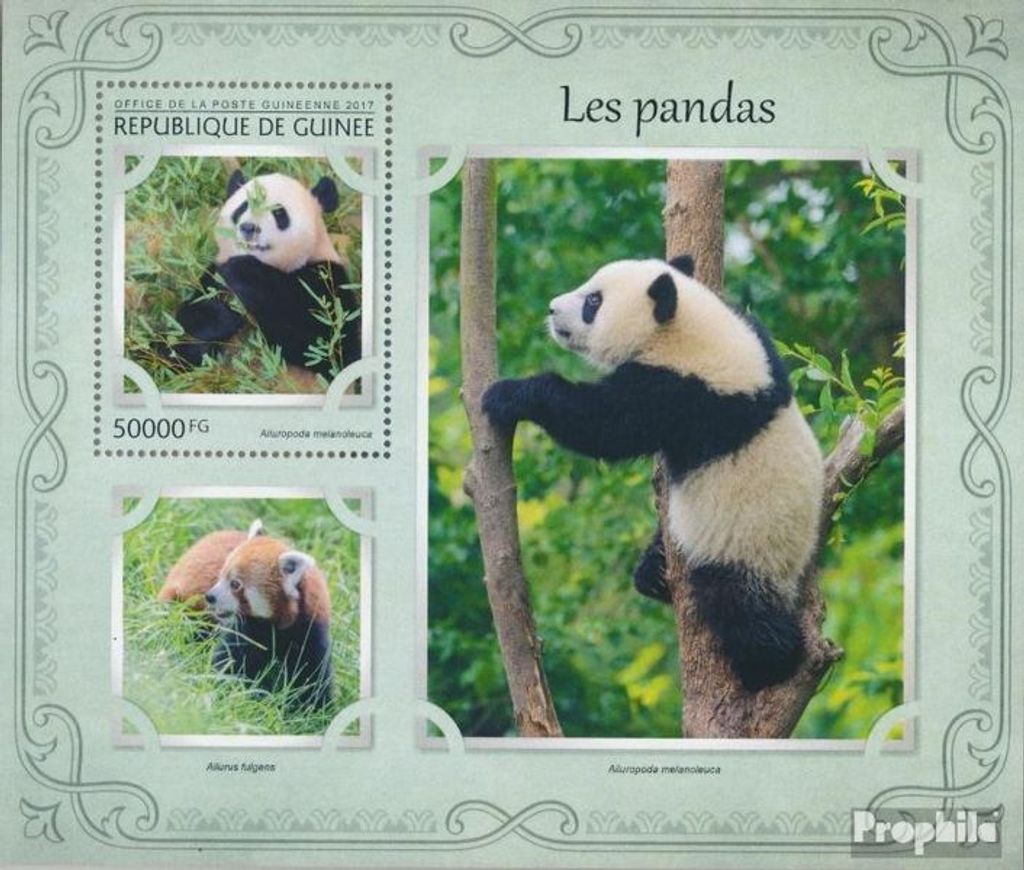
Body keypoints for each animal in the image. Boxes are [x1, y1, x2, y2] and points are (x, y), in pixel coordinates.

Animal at [170, 169, 361, 381]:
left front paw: (243, 272)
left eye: (278, 212)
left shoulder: (326, 281)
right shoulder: (213, 278)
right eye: (244, 206)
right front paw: (222, 316)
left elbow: (325, 345)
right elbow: (180, 341)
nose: (248, 228)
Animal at [482, 256, 824, 692]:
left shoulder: (681, 393)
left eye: (593, 301)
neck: (691, 327)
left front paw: (509, 394)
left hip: (749, 547)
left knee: (741, 610)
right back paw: (654, 574)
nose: (552, 309)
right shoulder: (759, 344)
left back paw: (768, 666)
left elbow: (601, 424)